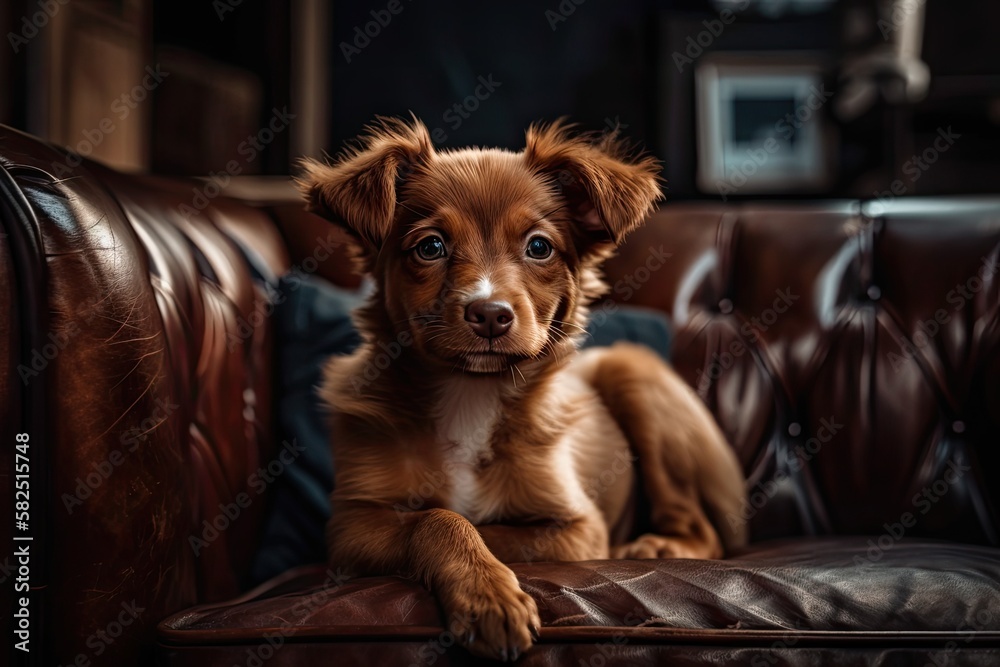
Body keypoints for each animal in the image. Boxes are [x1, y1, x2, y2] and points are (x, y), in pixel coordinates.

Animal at [300, 120, 748, 664]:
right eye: (430, 247)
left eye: (539, 247)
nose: (491, 314)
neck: (471, 393)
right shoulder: (350, 525)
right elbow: (440, 517)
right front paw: (487, 594)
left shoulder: (579, 527)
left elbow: (488, 526)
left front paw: (490, 591)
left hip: (632, 372)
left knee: (700, 527)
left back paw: (656, 547)